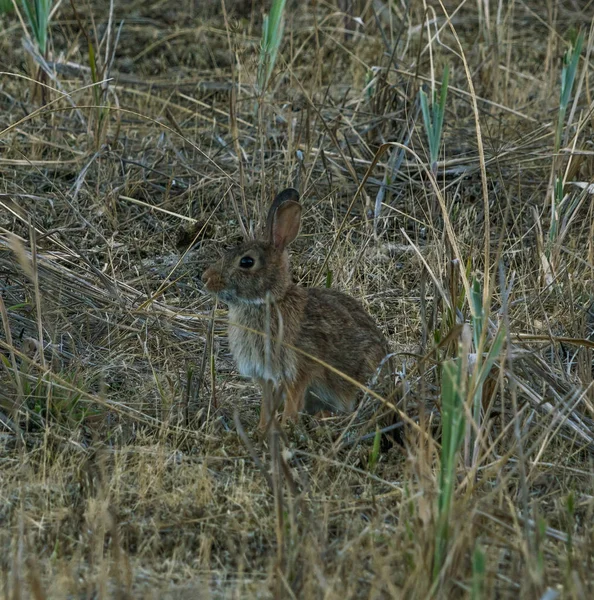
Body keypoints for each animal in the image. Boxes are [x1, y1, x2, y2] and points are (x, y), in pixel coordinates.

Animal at [201, 190, 390, 428]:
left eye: (246, 262)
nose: (205, 278)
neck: (269, 301)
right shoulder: (266, 376)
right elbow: (267, 405)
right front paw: (262, 429)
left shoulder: (299, 369)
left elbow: (293, 400)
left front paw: (287, 425)